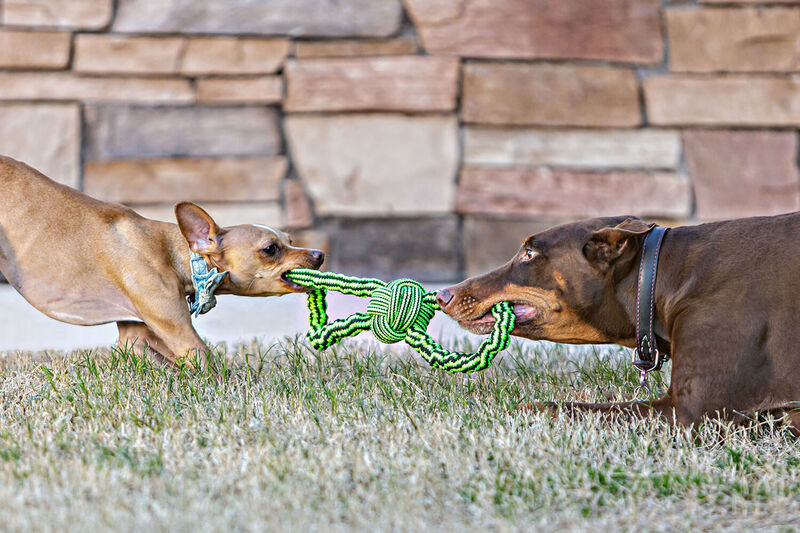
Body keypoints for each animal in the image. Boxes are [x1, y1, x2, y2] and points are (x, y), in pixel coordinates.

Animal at [1, 156, 324, 368]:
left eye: (290, 239)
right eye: (270, 249)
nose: (319, 255)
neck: (174, 253)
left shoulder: (135, 337)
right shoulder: (180, 333)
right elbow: (207, 363)